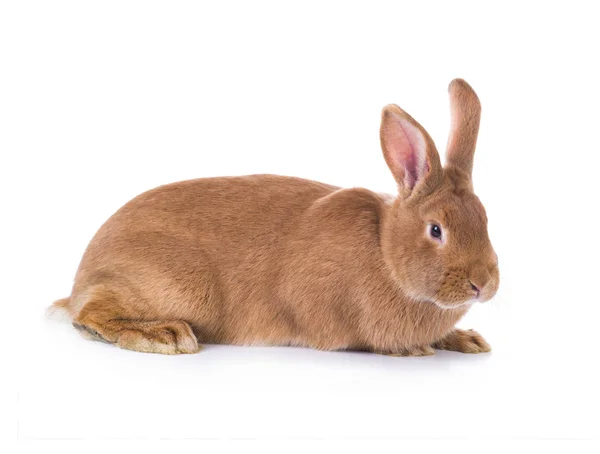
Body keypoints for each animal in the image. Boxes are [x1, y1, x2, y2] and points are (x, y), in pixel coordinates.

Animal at [48, 80, 496, 356]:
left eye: (485, 219)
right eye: (436, 230)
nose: (483, 285)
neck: (384, 251)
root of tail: (81, 279)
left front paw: (466, 340)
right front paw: (415, 348)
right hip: (180, 286)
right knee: (89, 315)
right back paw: (164, 335)